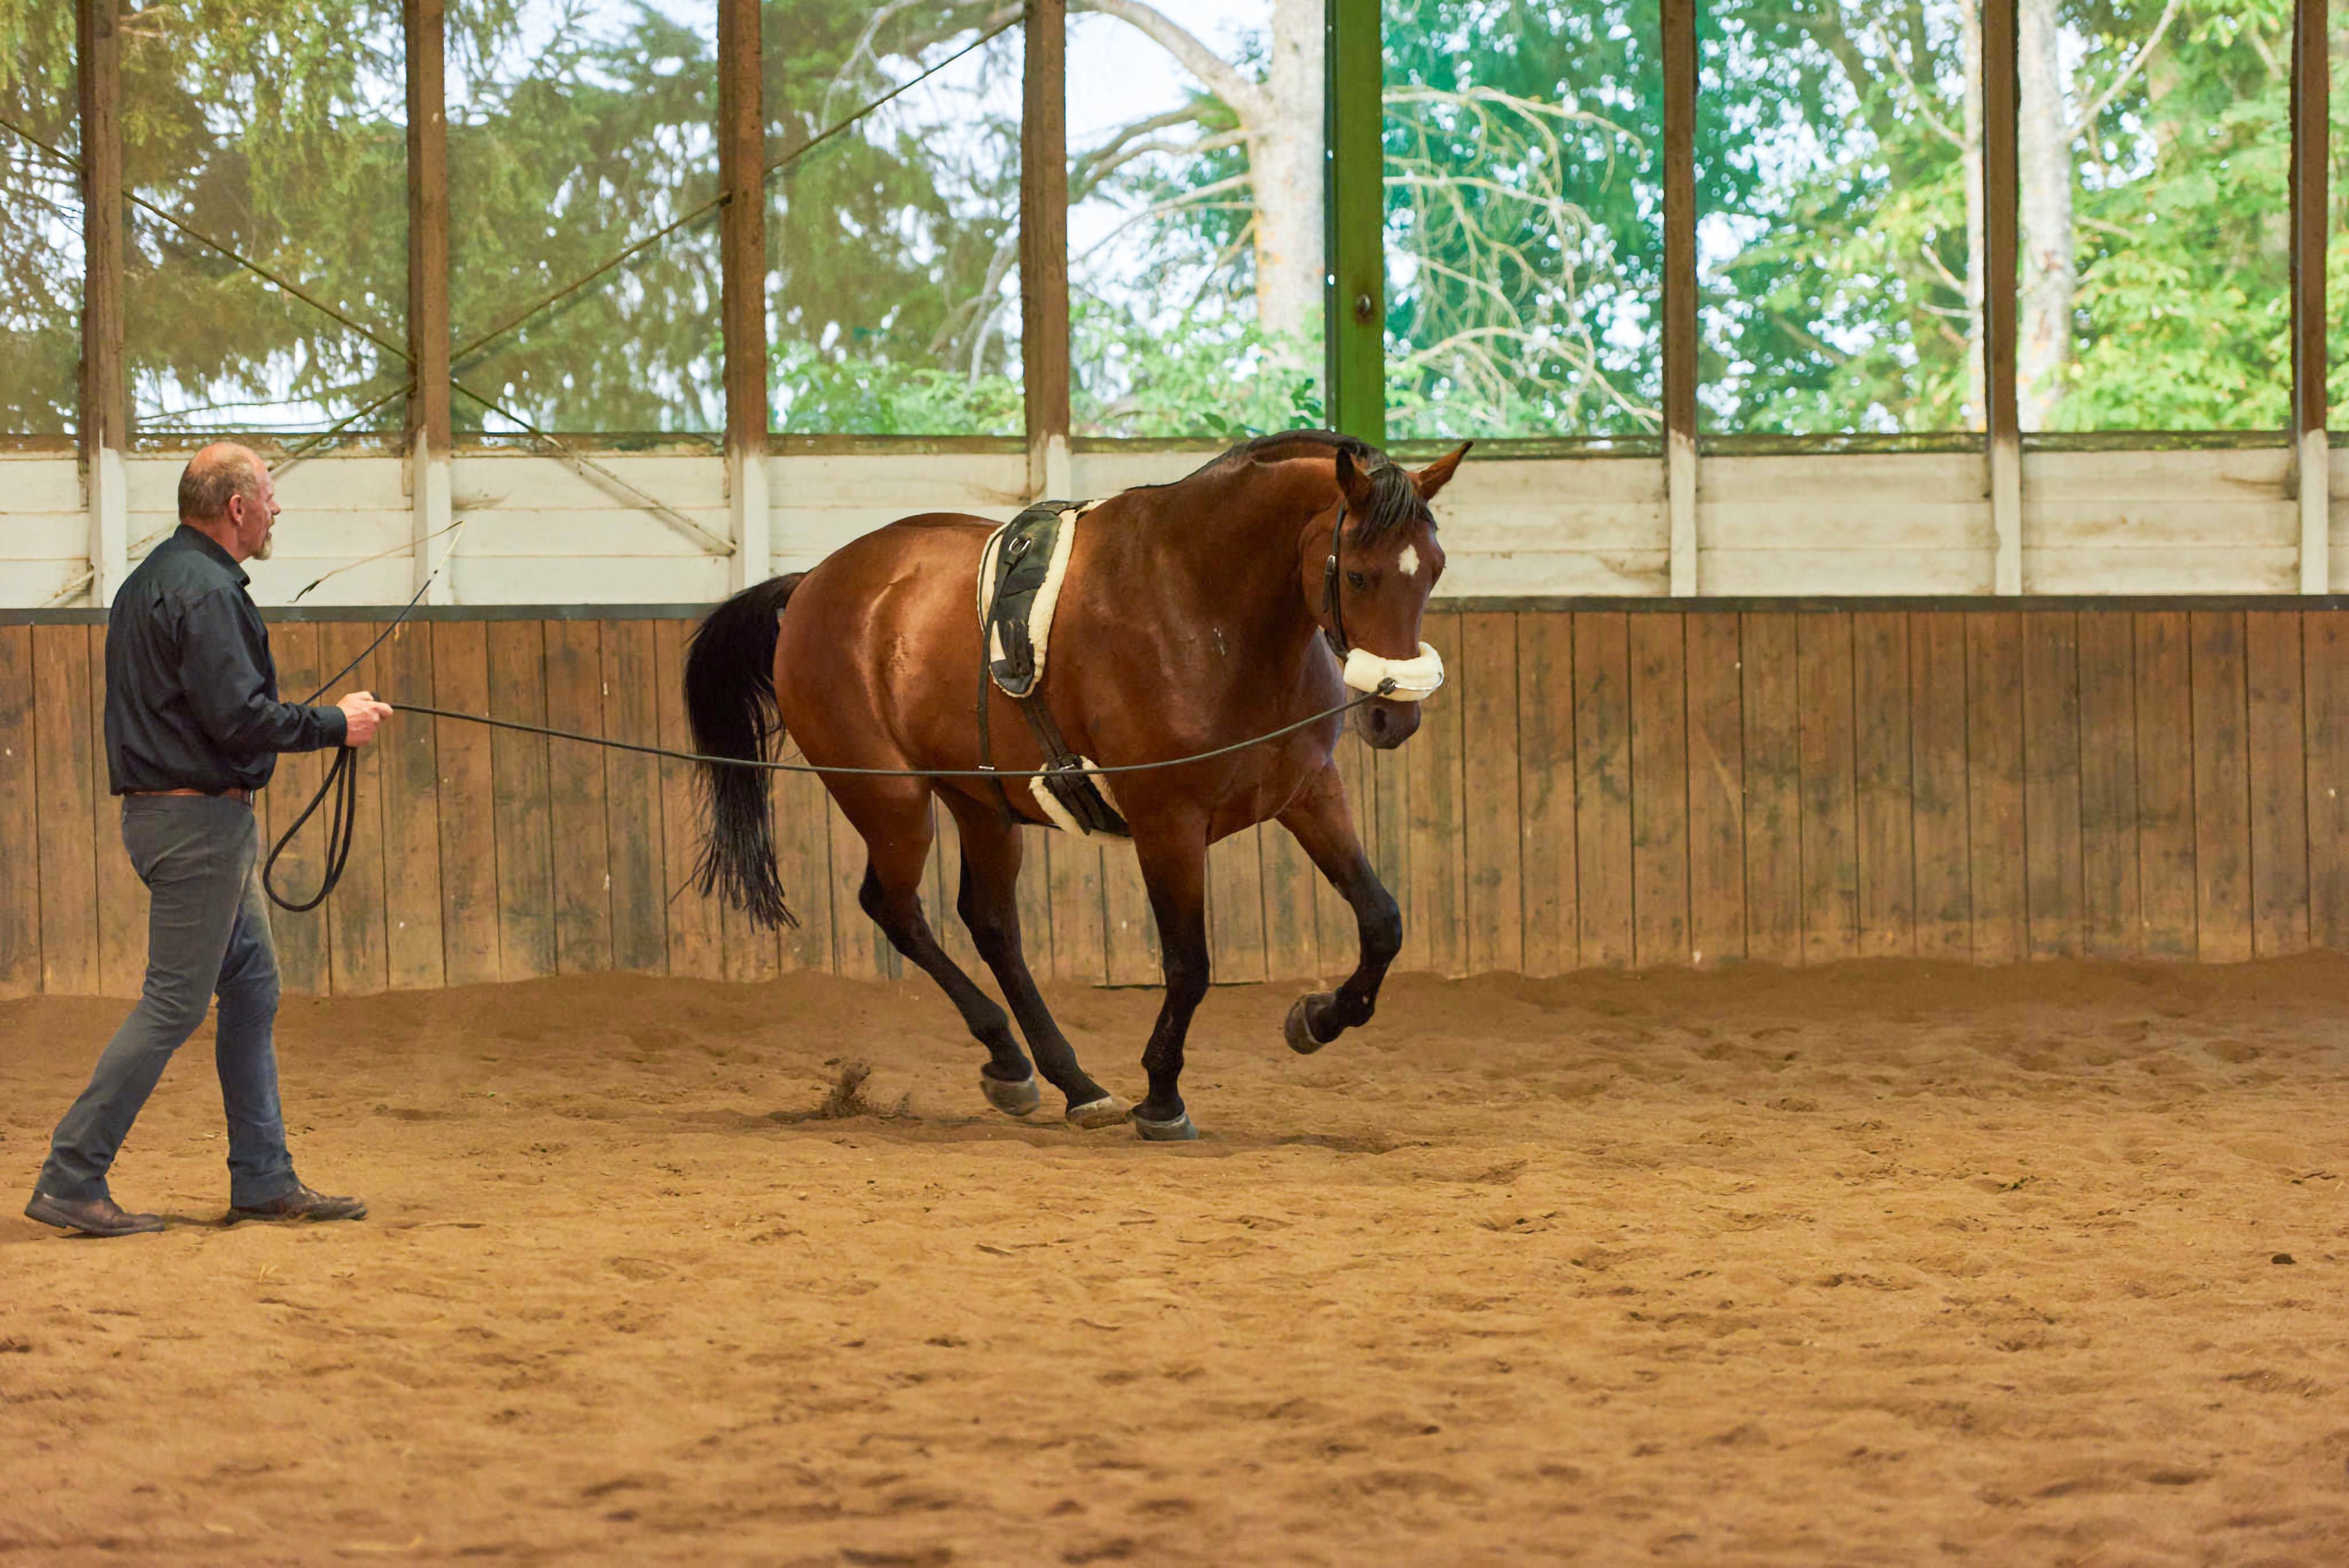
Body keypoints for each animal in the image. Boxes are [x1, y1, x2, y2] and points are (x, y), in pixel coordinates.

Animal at [683, 429, 1469, 1139]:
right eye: (1358, 575)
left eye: (1432, 570)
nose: (1394, 713)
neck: (1205, 605)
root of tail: (811, 585)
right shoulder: (1166, 821)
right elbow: (1189, 964)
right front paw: (1162, 1098)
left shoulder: (1308, 793)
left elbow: (1382, 921)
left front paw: (1316, 1019)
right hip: (889, 800)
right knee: (896, 909)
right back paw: (1014, 1059)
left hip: (982, 803)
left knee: (990, 923)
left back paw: (1068, 1081)